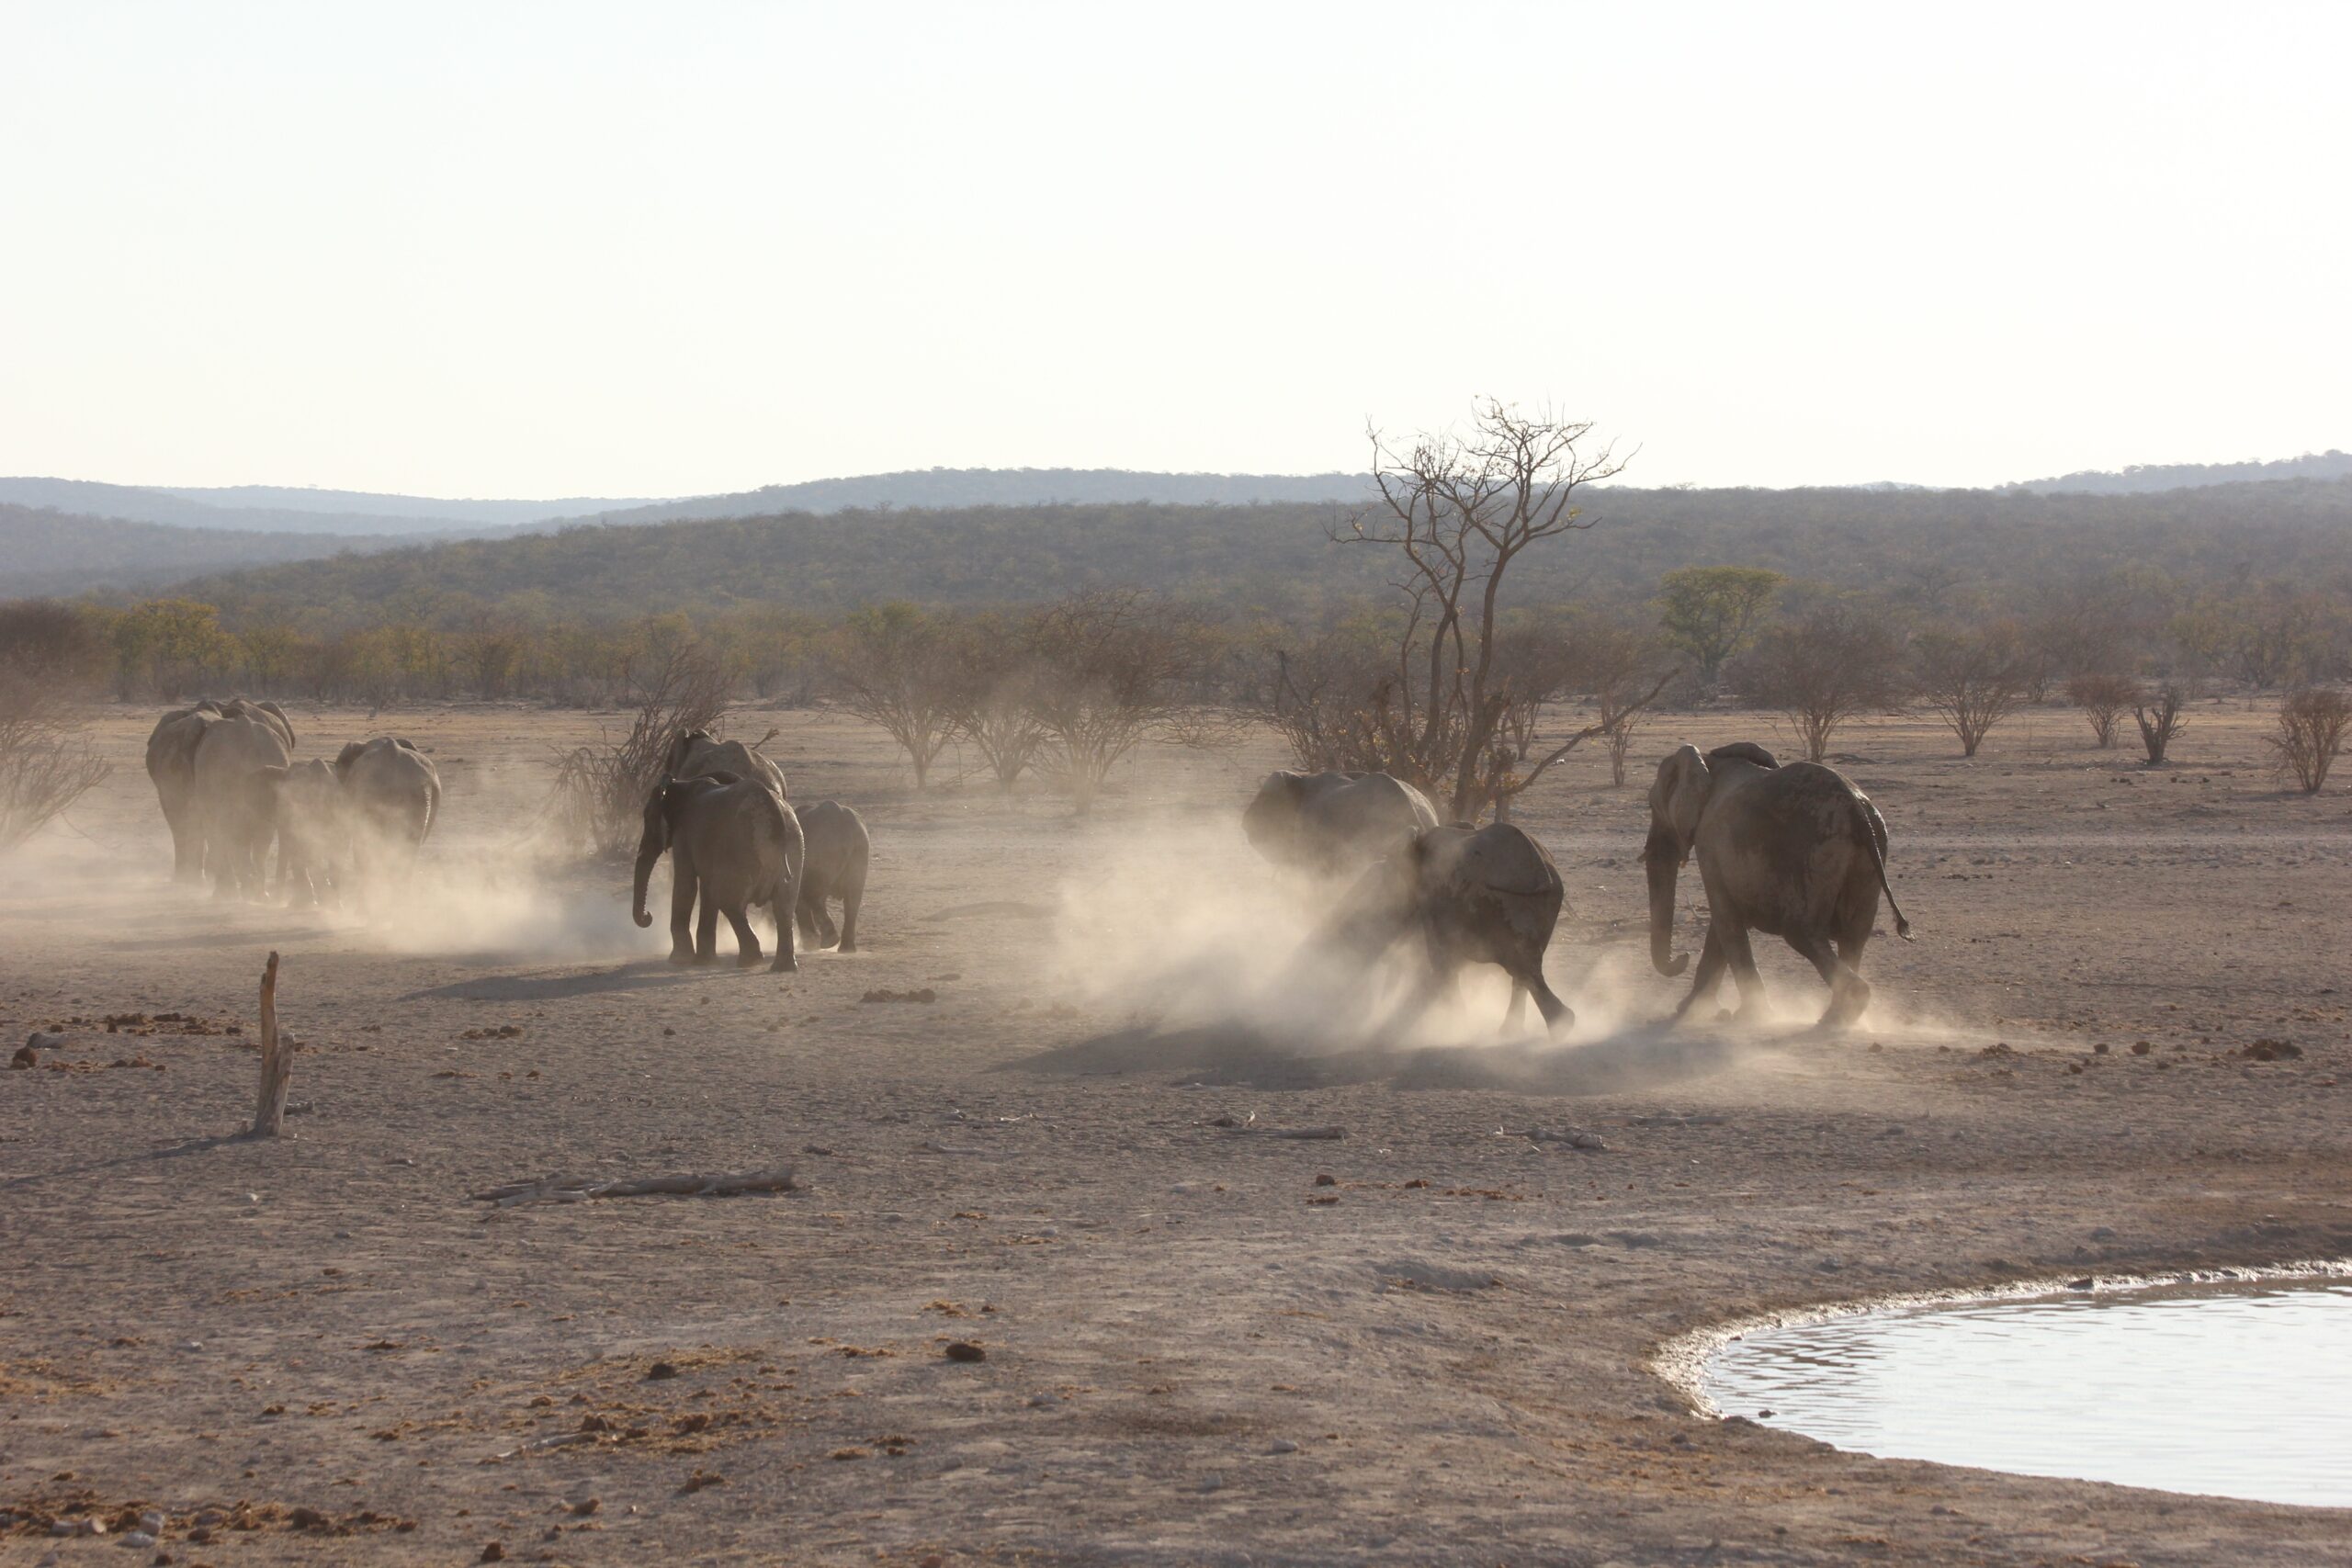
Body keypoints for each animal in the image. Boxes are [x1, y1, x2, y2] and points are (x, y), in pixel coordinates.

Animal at [632, 772, 806, 970]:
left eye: (647, 817)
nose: (648, 916)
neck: (679, 784)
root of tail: (773, 810)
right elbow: (704, 889)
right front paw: (703, 961)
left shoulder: (683, 834)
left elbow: (686, 886)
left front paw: (679, 960)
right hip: (794, 845)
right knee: (783, 907)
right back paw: (782, 967)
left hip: (741, 849)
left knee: (729, 901)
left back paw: (751, 960)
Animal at [793, 800, 869, 953]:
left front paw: (810, 946)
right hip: (860, 847)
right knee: (853, 897)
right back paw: (846, 949)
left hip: (822, 850)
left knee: (813, 895)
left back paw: (829, 942)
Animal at [1323, 821, 1573, 1037]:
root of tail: (1537, 869)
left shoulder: (1434, 898)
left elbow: (1440, 956)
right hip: (1537, 904)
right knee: (1524, 968)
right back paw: (1535, 1029)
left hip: (1495, 900)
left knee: (1520, 965)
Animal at [1643, 741, 1912, 1028]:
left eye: (1651, 806)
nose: (1683, 956)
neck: (1708, 762)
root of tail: (1857, 810)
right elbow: (1721, 926)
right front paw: (1686, 1010)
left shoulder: (1709, 844)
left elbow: (1726, 921)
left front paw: (1752, 1016)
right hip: (1870, 853)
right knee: (1854, 936)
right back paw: (1839, 1015)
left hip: (1817, 850)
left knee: (1800, 930)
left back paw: (1836, 1014)